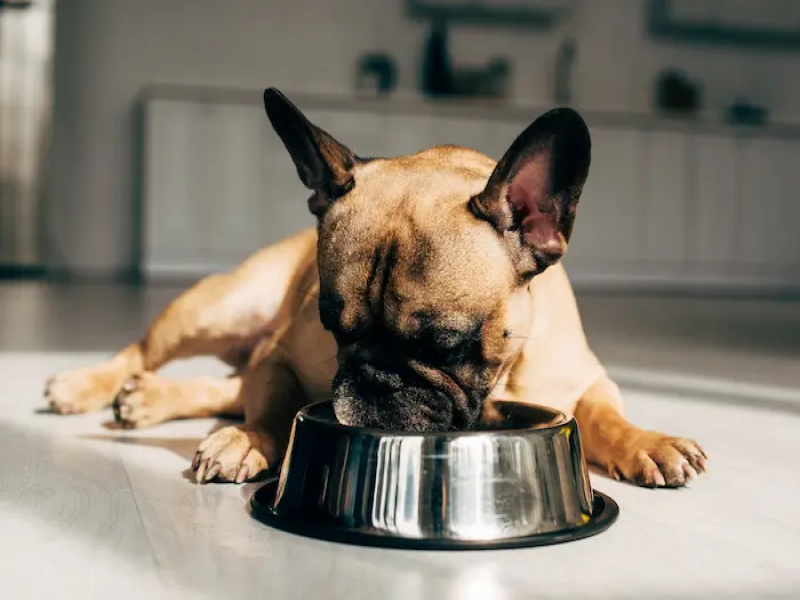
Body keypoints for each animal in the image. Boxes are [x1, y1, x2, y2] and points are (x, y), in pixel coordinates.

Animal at [43, 88, 708, 488]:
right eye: (333, 329)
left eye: (446, 345)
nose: (375, 379)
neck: (499, 376)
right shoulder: (281, 356)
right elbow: (274, 405)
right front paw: (251, 441)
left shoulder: (588, 380)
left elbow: (605, 416)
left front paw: (649, 442)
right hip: (220, 306)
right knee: (148, 353)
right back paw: (86, 385)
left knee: (224, 385)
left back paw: (148, 397)